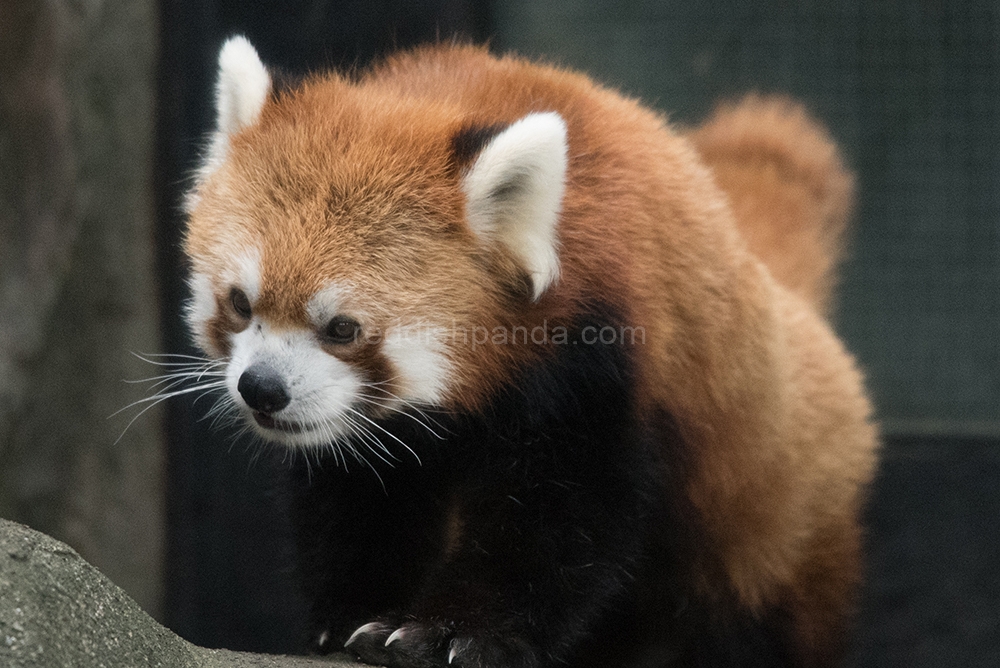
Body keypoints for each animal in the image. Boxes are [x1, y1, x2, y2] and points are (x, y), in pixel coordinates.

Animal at [180, 35, 876, 668]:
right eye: (240, 302)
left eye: (342, 328)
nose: (262, 388)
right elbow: (360, 496)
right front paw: (352, 616)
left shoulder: (600, 369)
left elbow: (557, 521)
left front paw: (451, 633)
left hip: (774, 534)